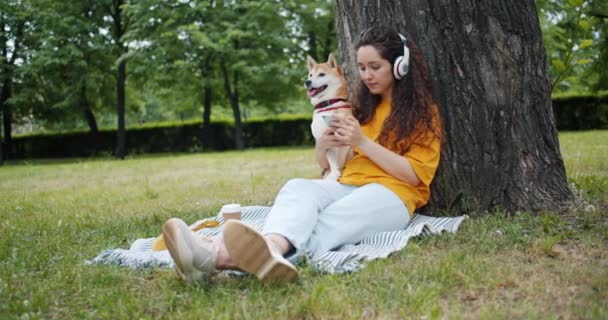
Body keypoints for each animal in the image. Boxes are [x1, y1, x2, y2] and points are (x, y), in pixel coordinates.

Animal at [306, 53, 354, 181]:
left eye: (322, 74)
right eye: (310, 75)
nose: (307, 82)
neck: (327, 105)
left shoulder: (343, 140)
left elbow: (340, 161)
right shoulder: (325, 141)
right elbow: (331, 161)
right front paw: (333, 174)